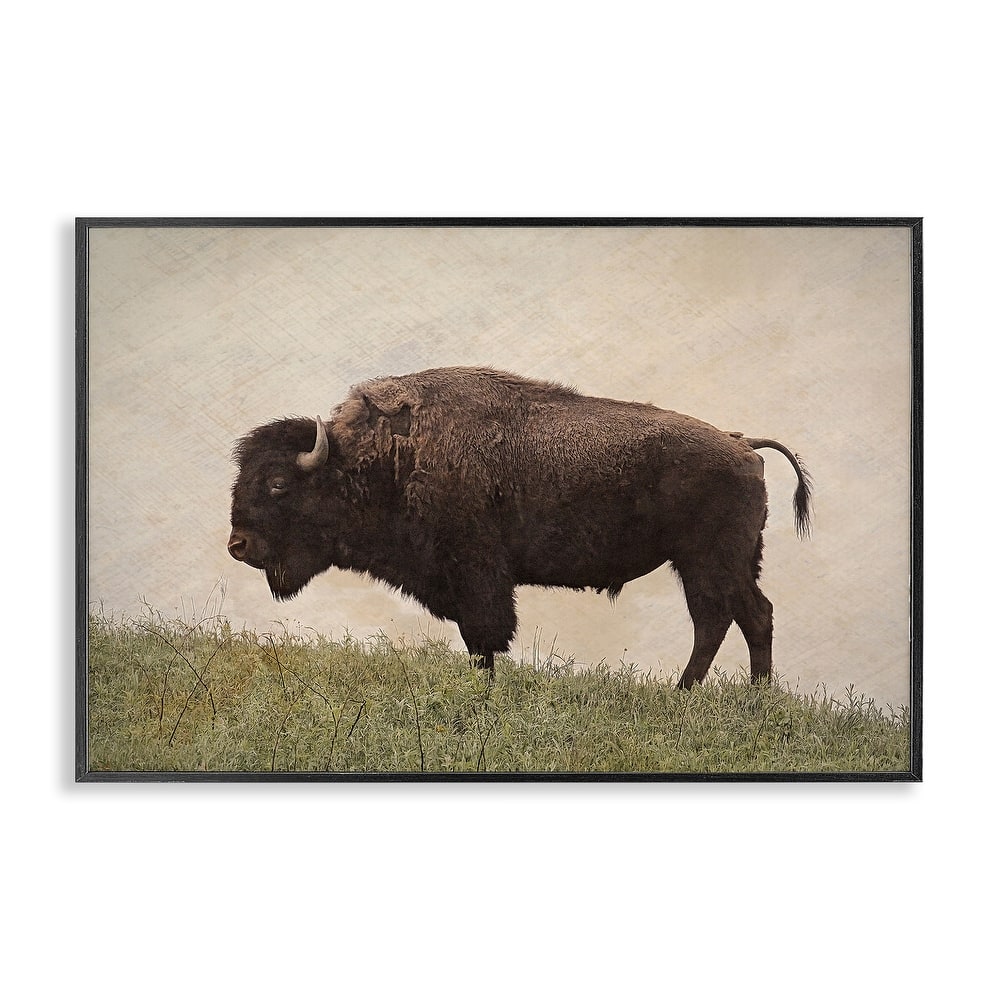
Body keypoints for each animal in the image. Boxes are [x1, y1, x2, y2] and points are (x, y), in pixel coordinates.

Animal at [228, 367, 811, 688]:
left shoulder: (477, 575)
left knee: (733, 618)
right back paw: (722, 699)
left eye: (278, 484)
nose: (238, 545)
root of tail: (741, 445)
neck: (385, 455)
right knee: (735, 618)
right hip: (715, 563)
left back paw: (718, 699)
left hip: (711, 561)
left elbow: (483, 638)